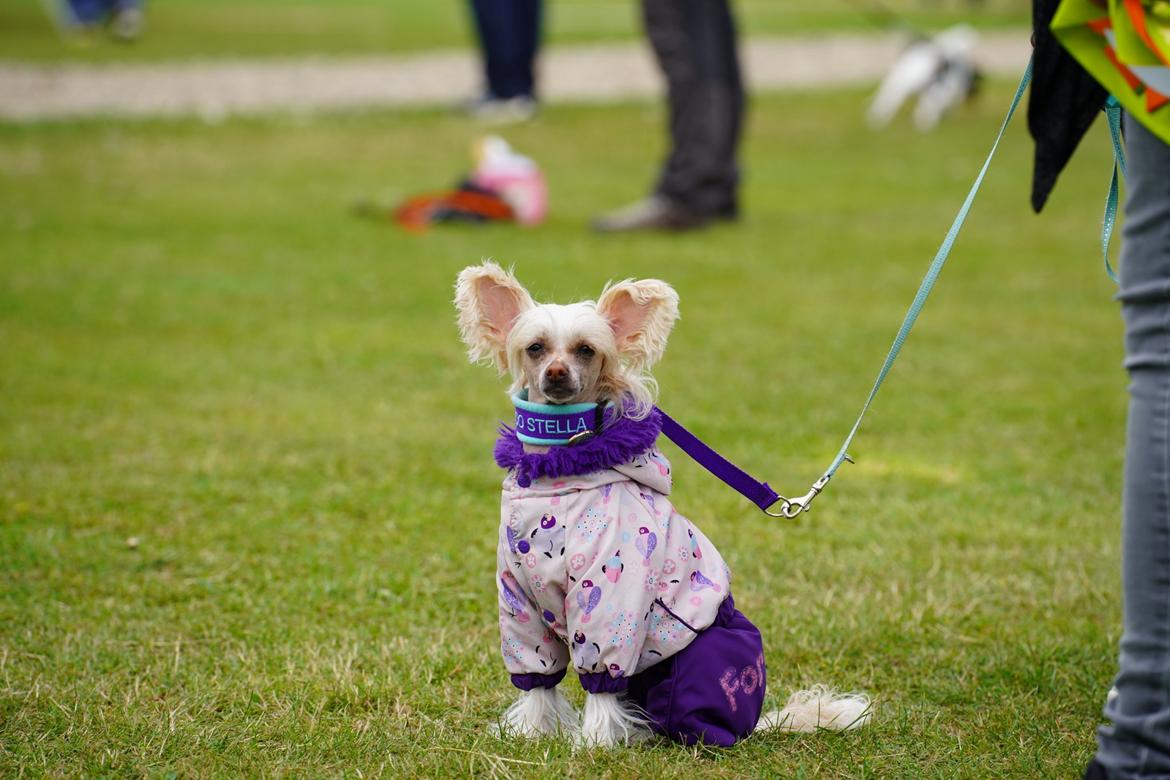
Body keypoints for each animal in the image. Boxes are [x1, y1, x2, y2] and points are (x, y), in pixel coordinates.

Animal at [453, 264, 870, 748]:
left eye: (586, 349)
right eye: (535, 348)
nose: (556, 372)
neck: (557, 474)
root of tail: (753, 724)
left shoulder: (610, 597)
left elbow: (602, 680)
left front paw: (595, 741)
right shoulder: (519, 599)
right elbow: (538, 679)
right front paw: (532, 731)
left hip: (698, 662)